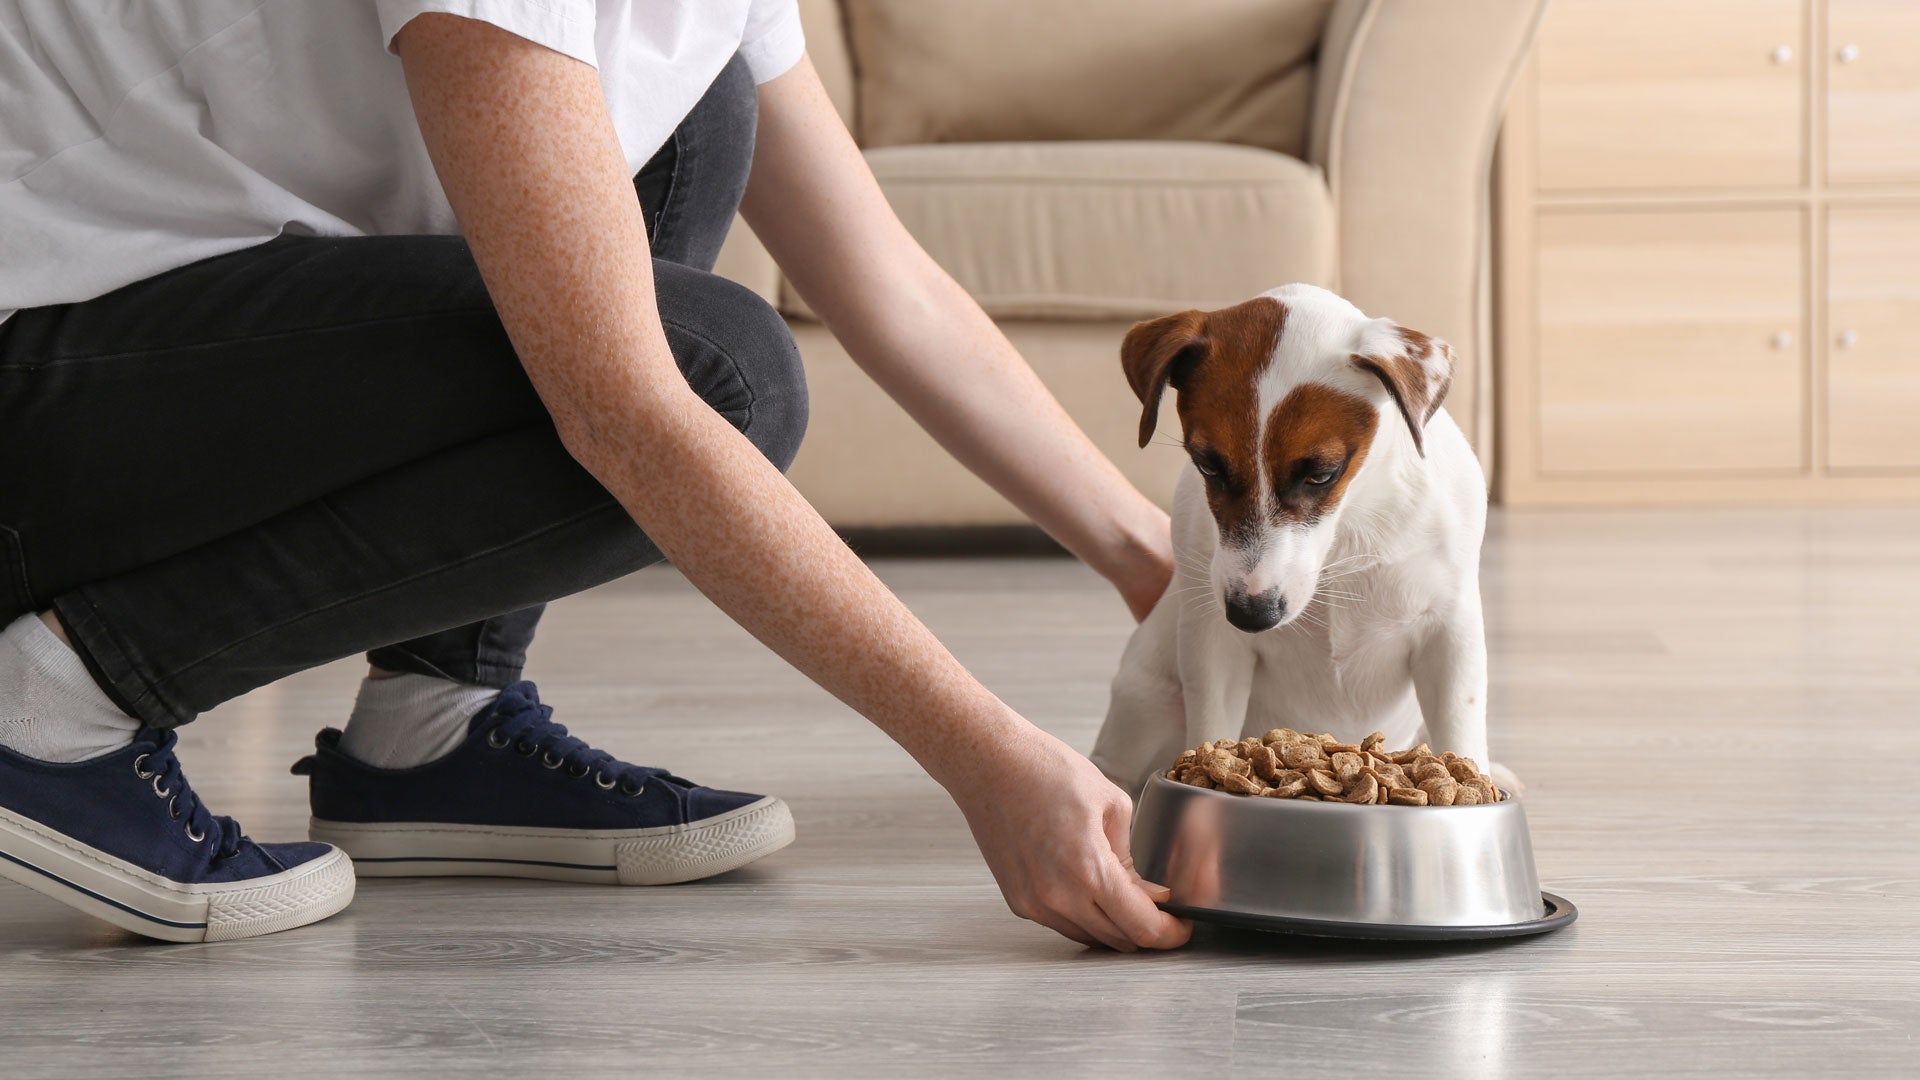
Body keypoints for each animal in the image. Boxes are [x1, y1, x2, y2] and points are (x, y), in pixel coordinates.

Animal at [1090, 282, 1505, 795]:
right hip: (1149, 694)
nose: (1252, 615)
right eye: (1208, 465)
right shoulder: (1214, 645)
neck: (1347, 530)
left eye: (1321, 474)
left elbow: (1460, 734)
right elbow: (1211, 728)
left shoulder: (1449, 634)